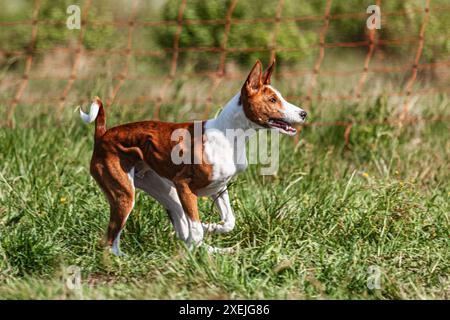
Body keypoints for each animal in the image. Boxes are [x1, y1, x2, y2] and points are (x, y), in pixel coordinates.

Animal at [80, 59, 306, 255]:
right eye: (272, 100)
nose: (303, 113)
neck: (228, 136)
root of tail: (102, 134)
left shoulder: (218, 188)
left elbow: (228, 222)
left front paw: (210, 227)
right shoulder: (184, 186)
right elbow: (196, 230)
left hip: (165, 192)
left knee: (182, 231)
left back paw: (217, 250)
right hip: (126, 195)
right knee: (110, 240)